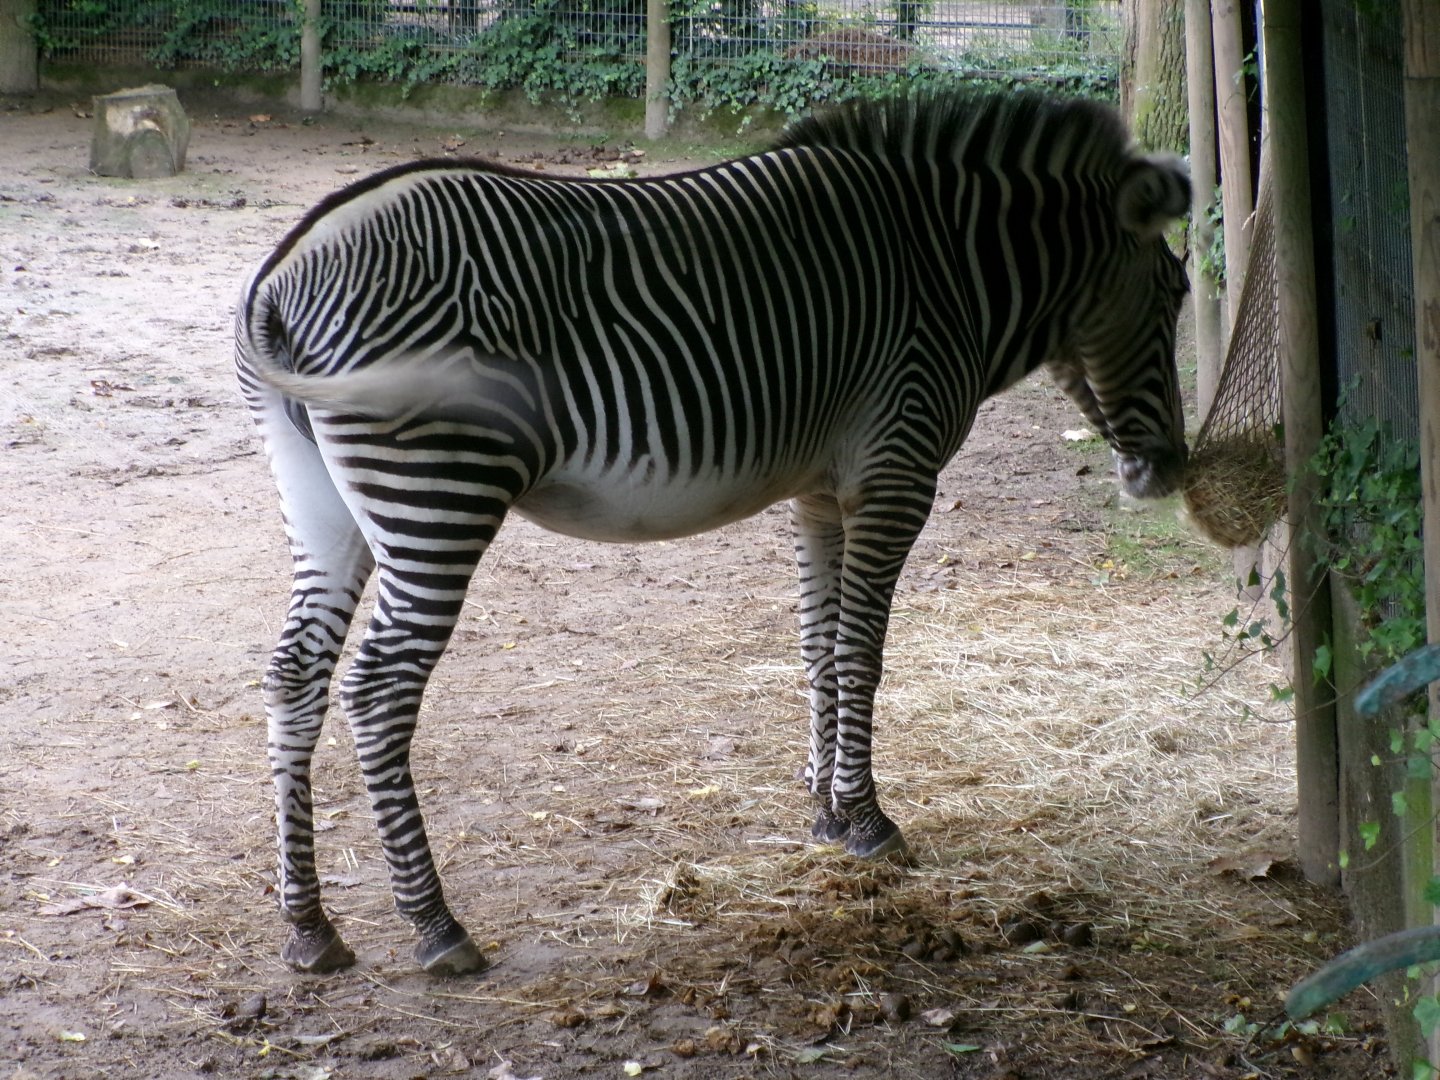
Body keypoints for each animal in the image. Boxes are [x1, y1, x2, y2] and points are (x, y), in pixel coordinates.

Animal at [236, 89, 1190, 977]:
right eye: (1176, 297)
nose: (1171, 471)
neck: (949, 262)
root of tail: (286, 270)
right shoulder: (896, 472)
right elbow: (862, 651)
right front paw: (869, 820)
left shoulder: (821, 493)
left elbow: (819, 645)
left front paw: (825, 812)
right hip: (437, 492)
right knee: (377, 689)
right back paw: (434, 923)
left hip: (324, 499)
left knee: (295, 673)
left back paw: (308, 926)